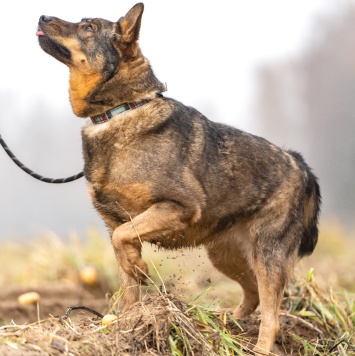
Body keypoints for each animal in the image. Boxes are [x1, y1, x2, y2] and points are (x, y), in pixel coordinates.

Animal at [36, 2, 322, 354]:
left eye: (88, 27)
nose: (42, 16)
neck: (120, 110)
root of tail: (299, 164)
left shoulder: (177, 207)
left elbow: (125, 242)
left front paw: (139, 271)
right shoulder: (115, 223)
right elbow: (127, 277)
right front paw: (130, 326)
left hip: (268, 256)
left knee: (272, 316)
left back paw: (251, 344)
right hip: (226, 255)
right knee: (252, 295)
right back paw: (222, 327)